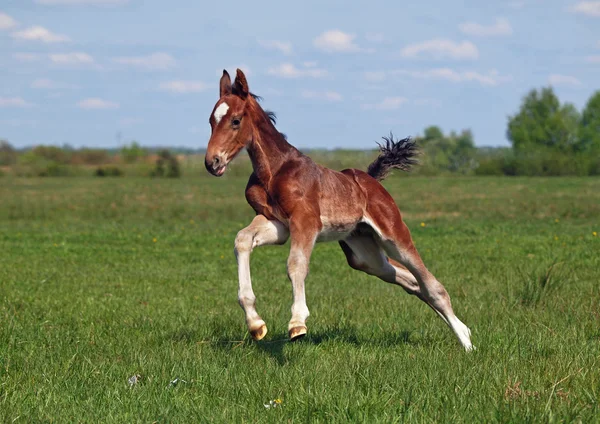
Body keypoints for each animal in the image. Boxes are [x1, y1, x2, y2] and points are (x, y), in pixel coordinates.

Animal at [205, 67, 474, 352]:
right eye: (211, 120)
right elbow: (242, 240)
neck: (274, 170)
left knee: (432, 284)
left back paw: (466, 342)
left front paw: (297, 323)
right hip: (364, 255)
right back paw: (463, 329)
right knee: (413, 282)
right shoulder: (277, 224)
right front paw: (256, 323)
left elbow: (296, 263)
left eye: (235, 120)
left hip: (393, 236)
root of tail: (371, 179)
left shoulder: (305, 221)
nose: (213, 162)